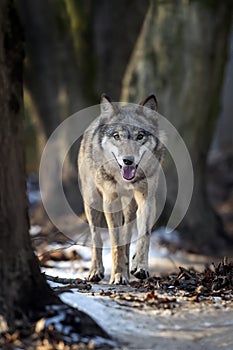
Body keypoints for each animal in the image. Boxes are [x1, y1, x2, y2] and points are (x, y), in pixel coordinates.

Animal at [78, 93, 166, 284]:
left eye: (140, 136)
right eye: (117, 136)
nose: (128, 160)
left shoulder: (147, 199)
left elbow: (144, 235)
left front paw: (139, 267)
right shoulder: (110, 201)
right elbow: (114, 243)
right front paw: (118, 275)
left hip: (130, 207)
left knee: (127, 236)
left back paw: (128, 266)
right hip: (92, 202)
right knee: (96, 238)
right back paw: (96, 271)